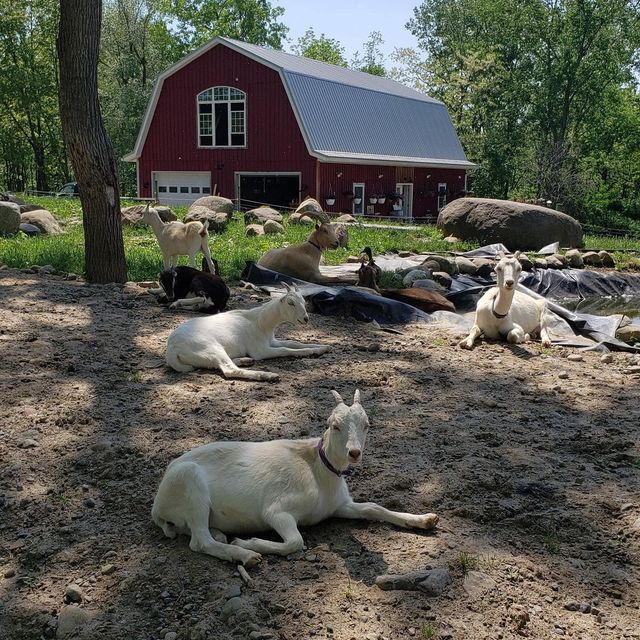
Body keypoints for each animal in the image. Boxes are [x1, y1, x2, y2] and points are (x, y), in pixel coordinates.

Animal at [151, 389, 439, 566]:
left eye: (367, 424)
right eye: (334, 425)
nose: (354, 452)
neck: (320, 473)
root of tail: (157, 506)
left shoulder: (339, 506)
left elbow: (373, 507)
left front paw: (425, 519)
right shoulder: (277, 510)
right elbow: (295, 542)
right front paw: (250, 542)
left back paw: (222, 535)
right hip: (190, 486)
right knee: (199, 541)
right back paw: (244, 554)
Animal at [165, 282, 330, 381]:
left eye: (303, 301)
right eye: (290, 303)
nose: (305, 319)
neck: (260, 321)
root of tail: (171, 349)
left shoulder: (272, 340)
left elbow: (292, 342)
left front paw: (322, 348)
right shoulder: (260, 350)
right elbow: (286, 350)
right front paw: (311, 351)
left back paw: (244, 360)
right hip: (210, 348)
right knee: (229, 370)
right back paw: (267, 375)